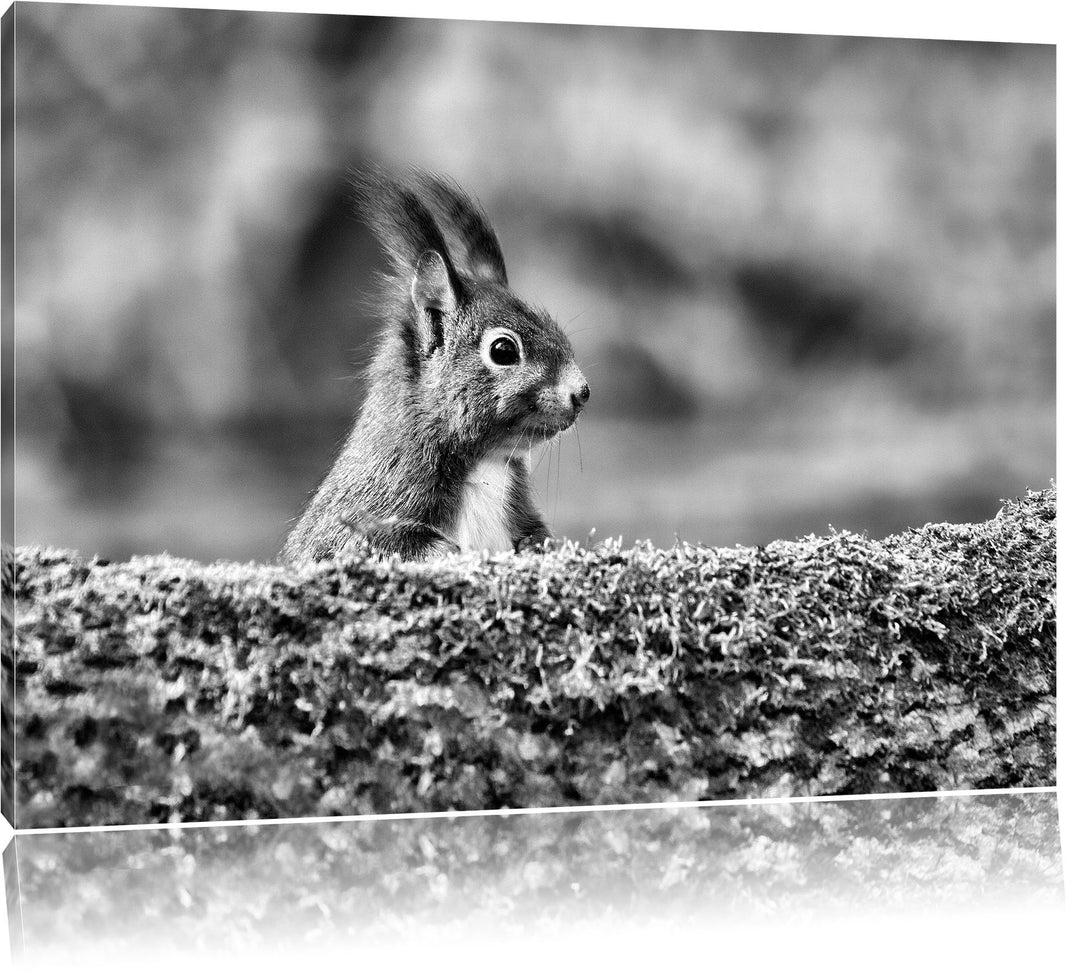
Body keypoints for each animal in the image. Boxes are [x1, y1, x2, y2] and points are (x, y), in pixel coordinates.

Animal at [280, 169, 590, 563]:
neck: (487, 465)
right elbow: (387, 542)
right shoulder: (356, 520)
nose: (582, 392)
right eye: (503, 350)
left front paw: (542, 545)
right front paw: (446, 551)